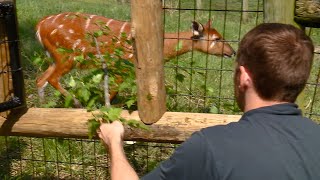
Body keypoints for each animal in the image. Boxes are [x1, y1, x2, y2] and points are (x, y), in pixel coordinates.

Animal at [35, 12, 235, 107]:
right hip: (68, 55)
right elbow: (111, 93)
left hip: (55, 57)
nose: (232, 52)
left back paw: (43, 108)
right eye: (217, 38)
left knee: (41, 79)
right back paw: (77, 103)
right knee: (51, 78)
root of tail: (39, 25)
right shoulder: (122, 66)